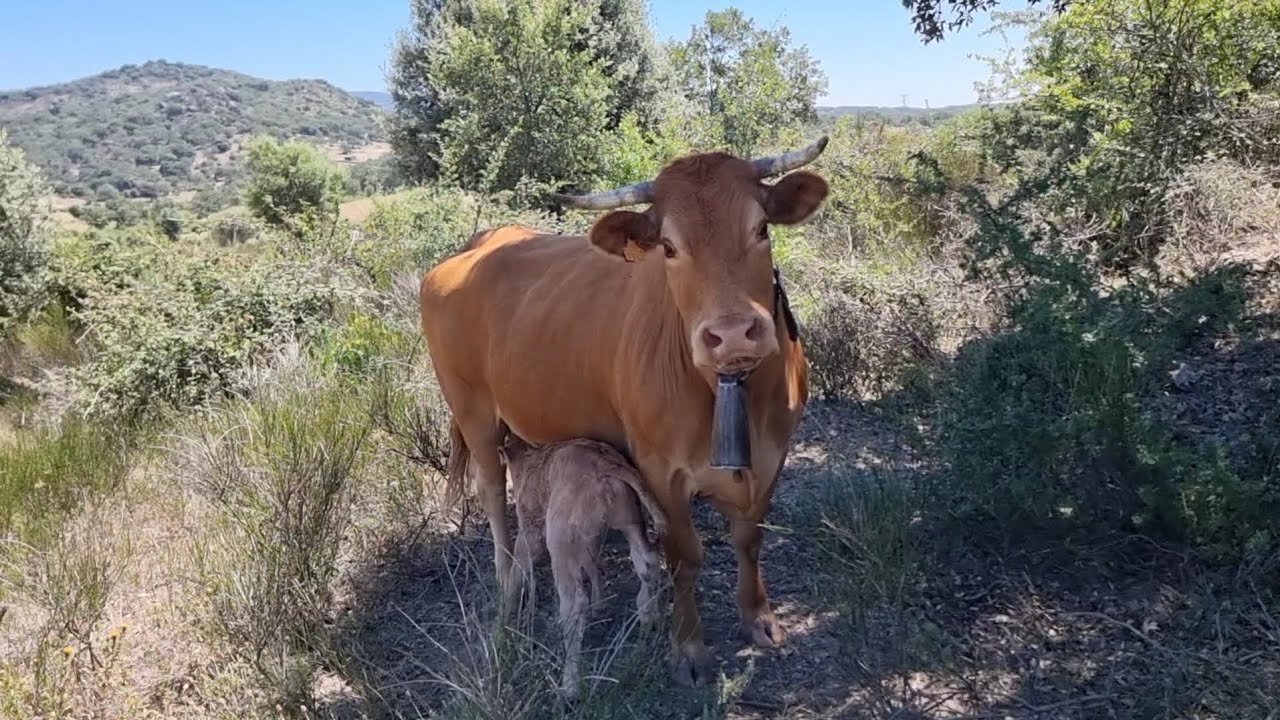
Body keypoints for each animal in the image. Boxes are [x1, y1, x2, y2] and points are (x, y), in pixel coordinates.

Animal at [418, 137, 829, 686]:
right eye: (669, 247)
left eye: (761, 228)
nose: (733, 335)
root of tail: (482, 242)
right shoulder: (659, 471)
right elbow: (684, 555)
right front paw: (689, 649)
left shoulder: (773, 455)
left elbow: (749, 538)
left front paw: (757, 617)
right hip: (472, 410)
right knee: (490, 491)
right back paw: (509, 580)